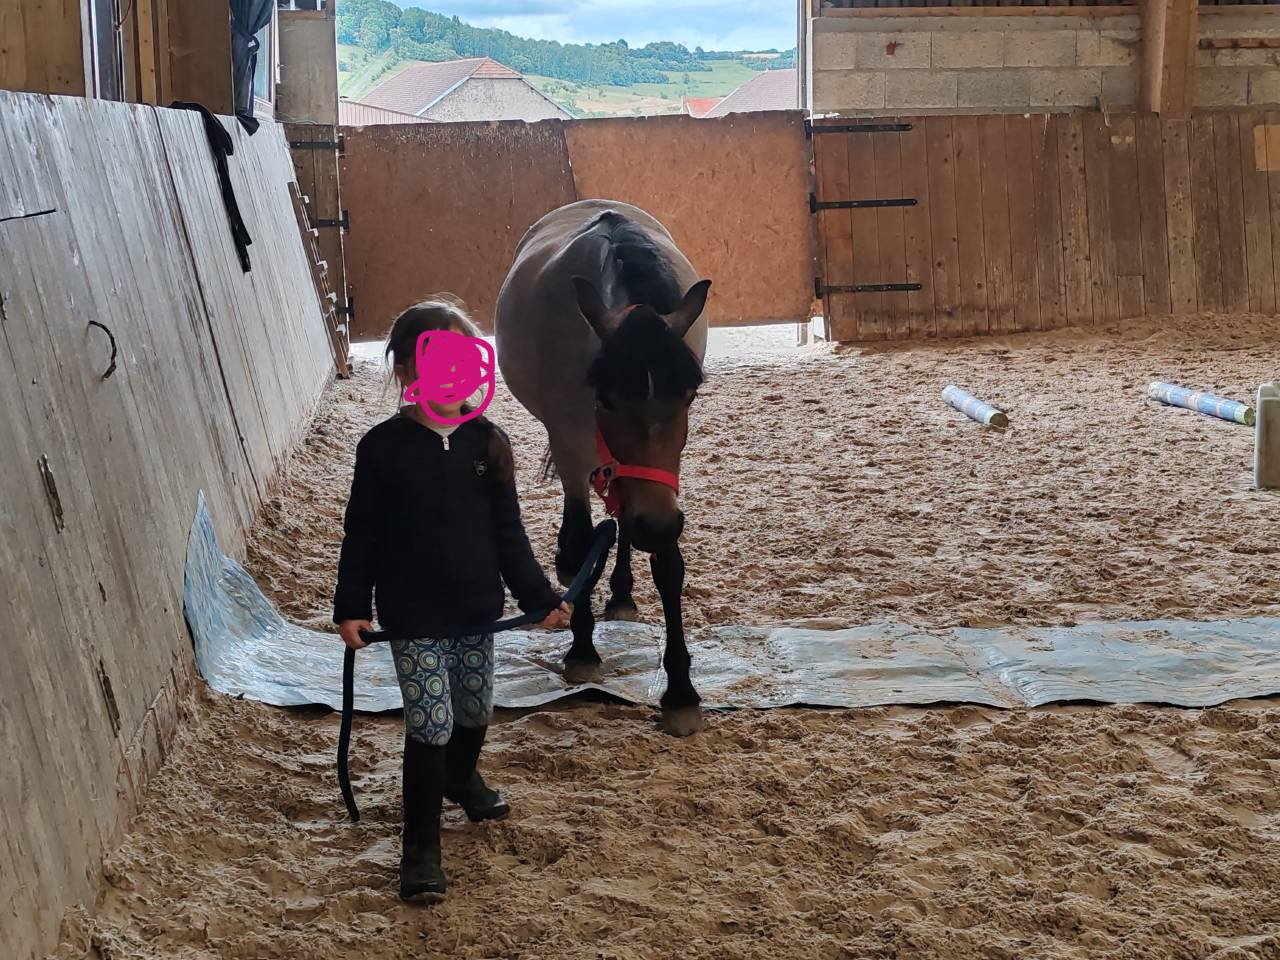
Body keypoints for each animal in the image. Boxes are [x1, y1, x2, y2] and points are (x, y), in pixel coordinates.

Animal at [495, 199, 711, 736]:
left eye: (688, 395)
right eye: (608, 398)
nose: (656, 524)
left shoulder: (659, 485)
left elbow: (667, 564)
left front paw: (680, 692)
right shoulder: (572, 447)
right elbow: (577, 547)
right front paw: (582, 649)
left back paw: (622, 592)